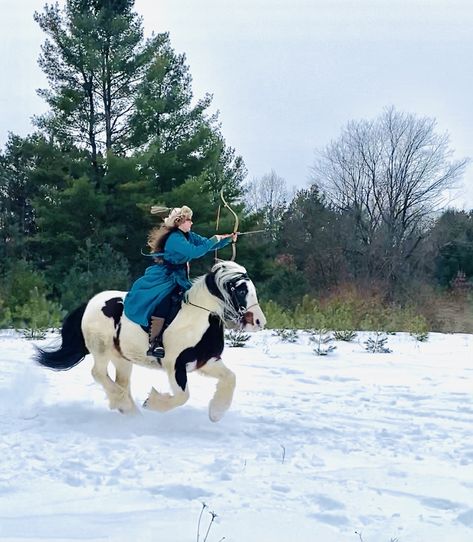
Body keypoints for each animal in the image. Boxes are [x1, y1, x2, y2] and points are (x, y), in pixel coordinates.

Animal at [36, 262, 266, 422]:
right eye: (241, 290)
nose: (259, 321)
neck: (198, 319)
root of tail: (90, 303)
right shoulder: (175, 365)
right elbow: (183, 396)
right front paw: (152, 402)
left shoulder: (207, 361)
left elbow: (230, 378)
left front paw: (216, 413)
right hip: (101, 349)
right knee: (98, 373)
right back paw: (124, 405)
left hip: (122, 357)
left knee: (121, 382)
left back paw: (128, 410)